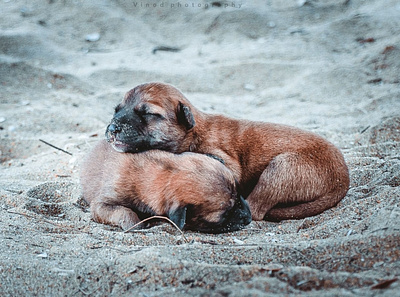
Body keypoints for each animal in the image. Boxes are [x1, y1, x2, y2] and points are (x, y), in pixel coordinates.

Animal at [80, 139, 252, 234]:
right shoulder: (102, 204)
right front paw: (136, 224)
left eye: (240, 194)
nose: (249, 218)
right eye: (225, 214)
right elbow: (124, 211)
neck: (166, 172)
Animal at [105, 81, 350, 220]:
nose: (112, 129)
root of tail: (343, 179)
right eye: (116, 110)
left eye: (148, 113)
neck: (194, 132)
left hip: (281, 169)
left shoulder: (225, 162)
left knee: (256, 209)